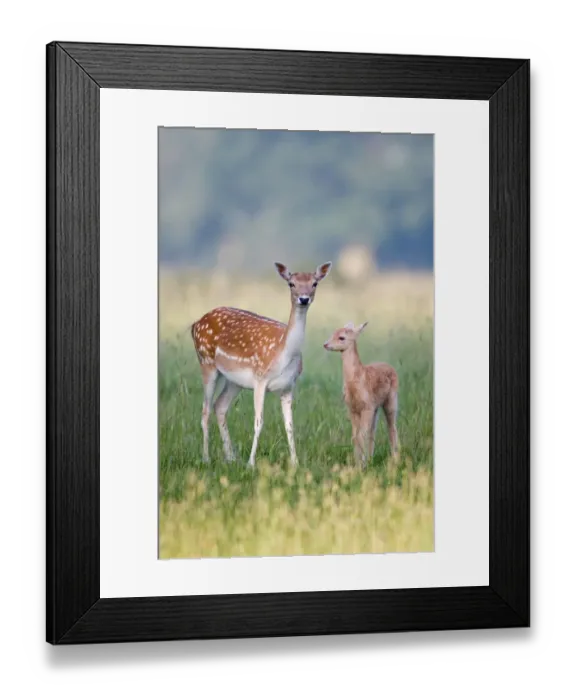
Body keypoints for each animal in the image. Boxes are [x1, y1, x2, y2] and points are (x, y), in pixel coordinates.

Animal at [191, 261, 332, 468]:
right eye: (291, 283)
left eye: (314, 283)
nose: (304, 299)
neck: (283, 353)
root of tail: (195, 324)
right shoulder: (260, 379)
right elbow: (258, 422)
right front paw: (251, 464)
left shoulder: (288, 385)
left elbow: (290, 425)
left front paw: (295, 463)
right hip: (206, 362)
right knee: (205, 410)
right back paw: (206, 458)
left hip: (234, 381)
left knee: (220, 406)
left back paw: (231, 457)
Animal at [323, 321, 399, 469]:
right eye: (333, 333)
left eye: (341, 337)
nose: (325, 344)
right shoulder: (353, 409)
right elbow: (355, 436)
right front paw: (358, 463)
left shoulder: (366, 407)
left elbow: (360, 436)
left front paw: (360, 466)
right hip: (375, 408)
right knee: (373, 430)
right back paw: (371, 459)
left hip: (391, 401)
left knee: (391, 427)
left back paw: (395, 458)